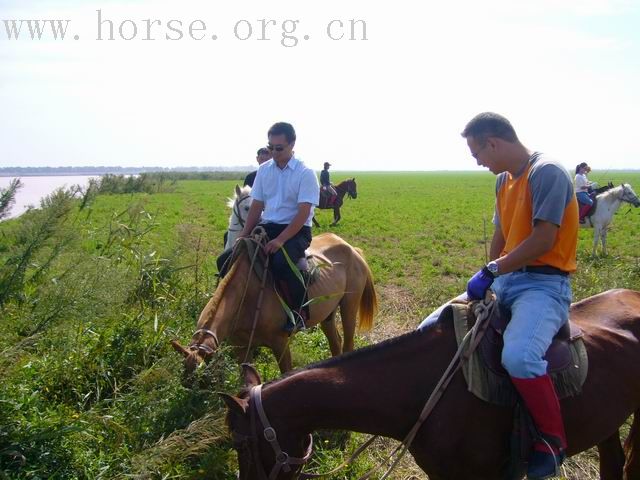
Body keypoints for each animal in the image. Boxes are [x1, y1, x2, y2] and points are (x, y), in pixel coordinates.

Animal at [172, 232, 378, 376]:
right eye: (183, 373)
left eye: (202, 375)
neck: (248, 296)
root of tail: (352, 249)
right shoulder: (241, 348)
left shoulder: (280, 344)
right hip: (327, 314)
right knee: (335, 342)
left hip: (349, 306)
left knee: (348, 342)